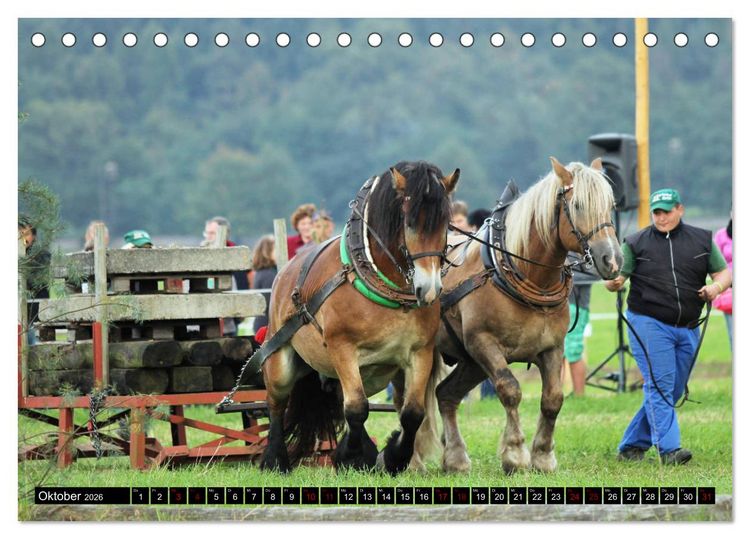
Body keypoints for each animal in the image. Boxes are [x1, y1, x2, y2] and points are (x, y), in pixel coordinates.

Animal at [260, 161, 459, 475]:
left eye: (445, 224)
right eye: (409, 223)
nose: (429, 289)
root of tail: (284, 273)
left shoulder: (421, 351)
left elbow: (412, 413)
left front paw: (393, 457)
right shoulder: (342, 348)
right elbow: (356, 408)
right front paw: (350, 456)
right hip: (281, 359)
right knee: (277, 404)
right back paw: (275, 459)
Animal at [430, 157, 622, 475]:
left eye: (610, 205)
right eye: (578, 205)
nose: (613, 260)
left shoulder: (552, 347)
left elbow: (553, 399)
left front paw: (543, 456)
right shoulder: (483, 344)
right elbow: (510, 390)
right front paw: (515, 454)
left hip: (470, 363)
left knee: (446, 395)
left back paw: (455, 458)